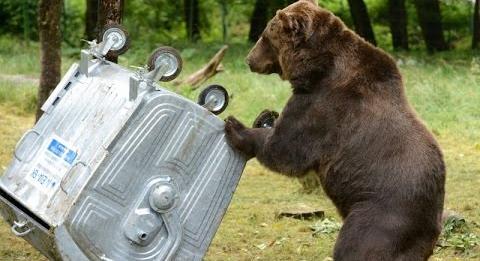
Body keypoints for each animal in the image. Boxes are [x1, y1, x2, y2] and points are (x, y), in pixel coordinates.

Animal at [225, 1, 446, 258]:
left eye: (264, 36)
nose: (249, 59)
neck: (315, 69)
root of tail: (431, 230)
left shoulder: (324, 106)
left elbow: (286, 149)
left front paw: (236, 126)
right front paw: (265, 115)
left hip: (381, 215)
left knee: (354, 245)